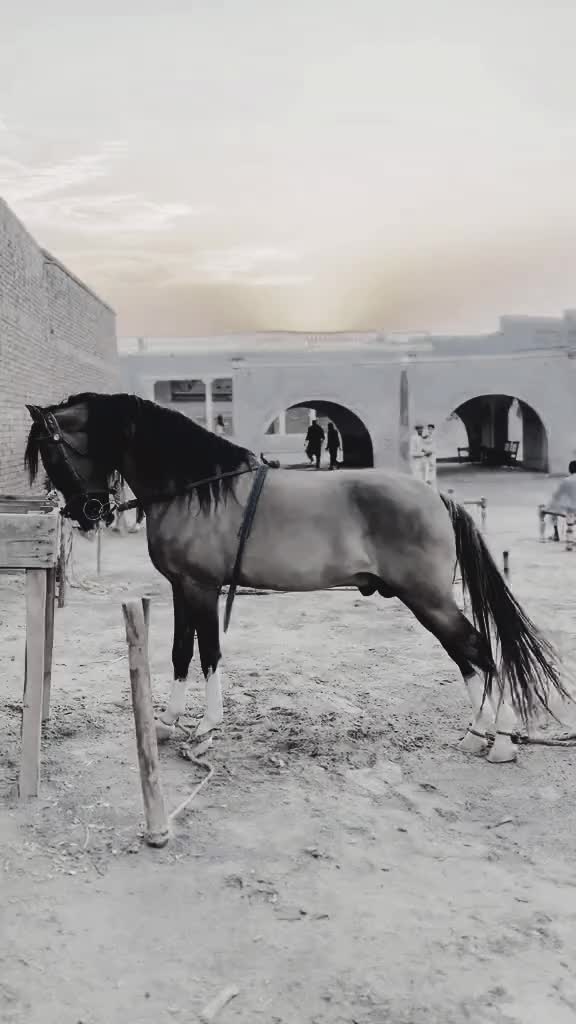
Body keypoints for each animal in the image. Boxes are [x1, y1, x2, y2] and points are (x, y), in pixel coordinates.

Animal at [24, 392, 568, 764]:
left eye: (53, 454)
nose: (87, 513)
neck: (197, 488)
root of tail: (436, 496)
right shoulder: (181, 588)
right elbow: (181, 653)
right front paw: (167, 723)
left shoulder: (202, 588)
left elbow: (209, 654)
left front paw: (206, 727)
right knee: (466, 656)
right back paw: (477, 733)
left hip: (428, 598)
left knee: (477, 650)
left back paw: (499, 740)